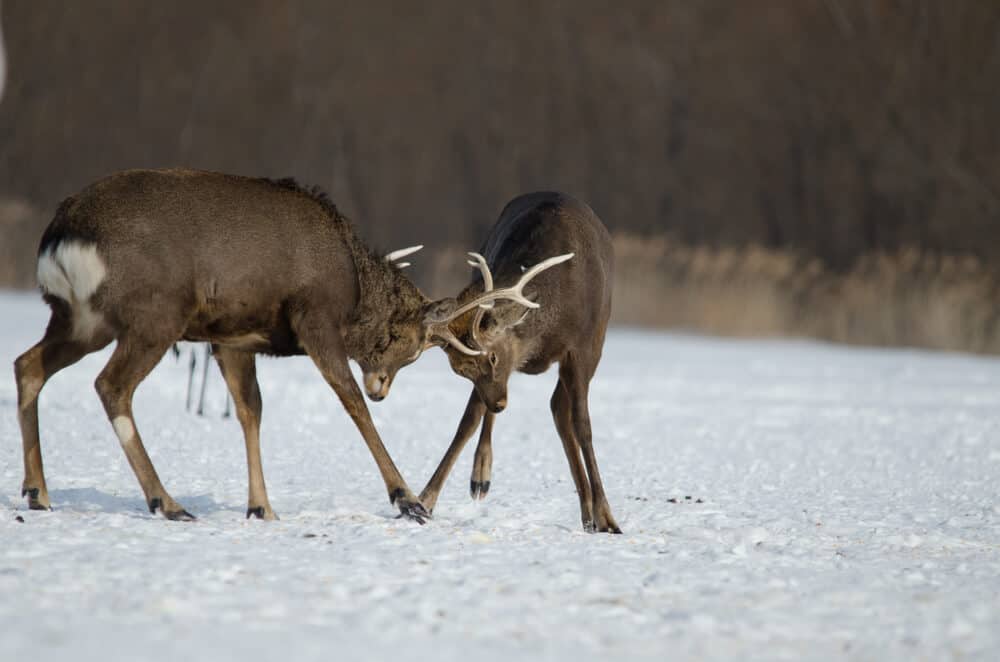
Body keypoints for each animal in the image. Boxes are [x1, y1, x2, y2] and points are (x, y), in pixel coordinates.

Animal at [13, 168, 569, 522]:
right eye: (405, 345)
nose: (383, 386)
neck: (352, 287)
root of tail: (61, 234)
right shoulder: (313, 317)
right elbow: (351, 405)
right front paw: (406, 498)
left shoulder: (231, 336)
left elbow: (250, 410)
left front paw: (261, 506)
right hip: (153, 315)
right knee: (111, 385)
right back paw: (164, 502)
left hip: (80, 318)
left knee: (27, 364)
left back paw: (38, 492)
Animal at [418, 191, 621, 534]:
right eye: (460, 371)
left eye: (493, 355)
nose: (500, 403)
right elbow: (468, 420)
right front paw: (424, 500)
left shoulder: (583, 347)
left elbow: (584, 425)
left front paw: (607, 516)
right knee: (551, 407)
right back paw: (482, 476)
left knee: (560, 408)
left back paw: (589, 510)